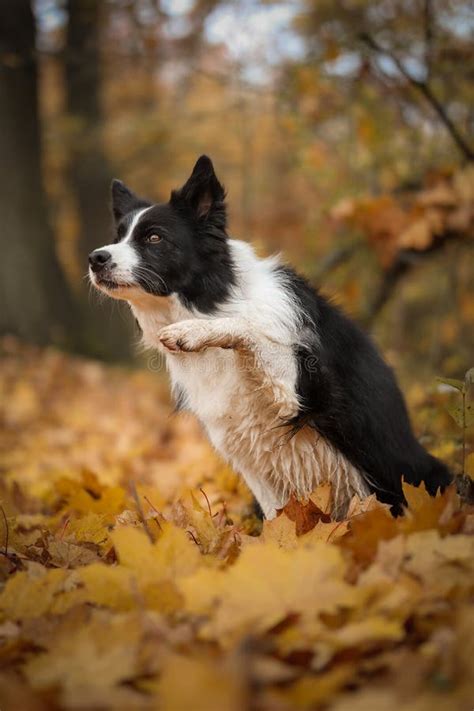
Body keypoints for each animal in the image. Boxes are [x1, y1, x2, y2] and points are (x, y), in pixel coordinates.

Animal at [90, 156, 452, 516]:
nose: (96, 258)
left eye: (154, 238)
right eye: (118, 237)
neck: (217, 301)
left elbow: (250, 329)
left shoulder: (302, 390)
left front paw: (193, 332)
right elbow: (276, 517)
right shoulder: (247, 456)